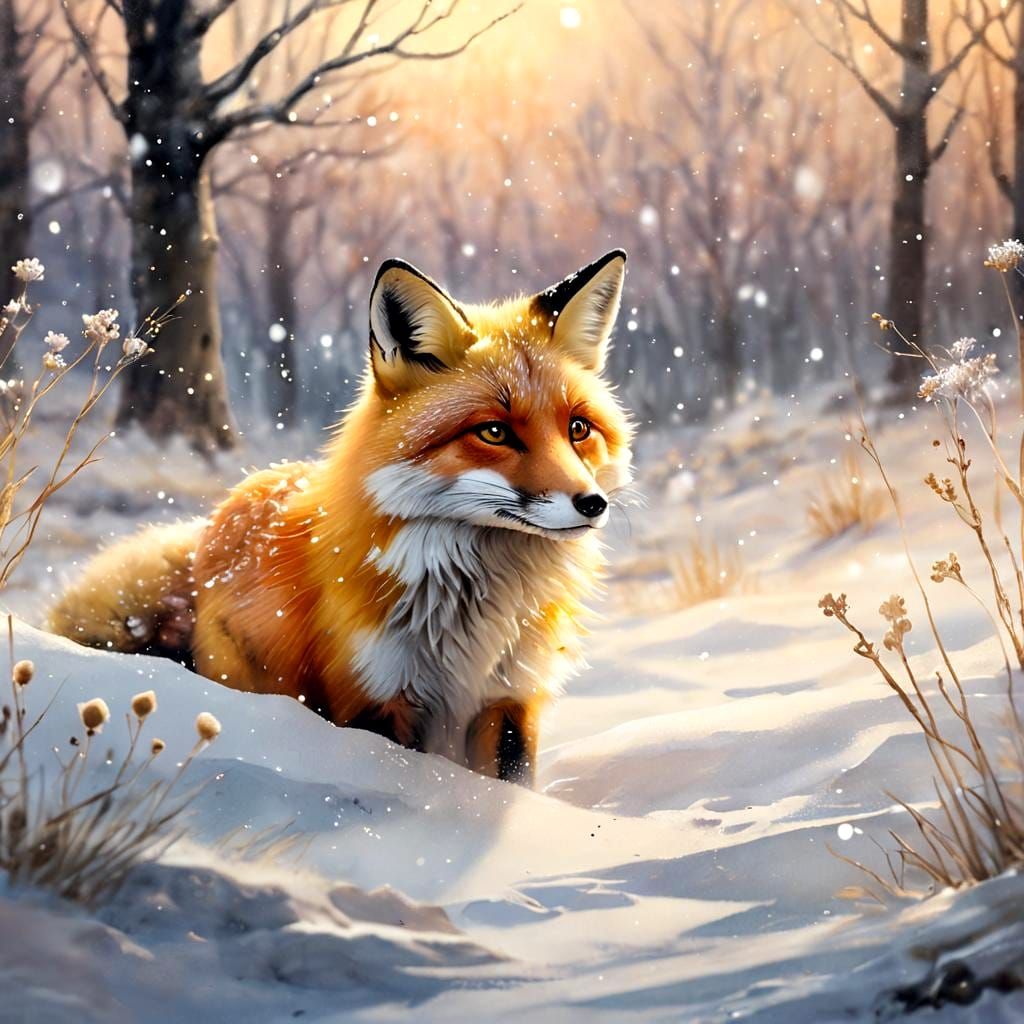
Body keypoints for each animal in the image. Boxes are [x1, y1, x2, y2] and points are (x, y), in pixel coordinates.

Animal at [48, 250, 633, 786]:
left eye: (578, 429)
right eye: (493, 432)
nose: (592, 504)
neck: (476, 619)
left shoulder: (510, 702)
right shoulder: (374, 700)